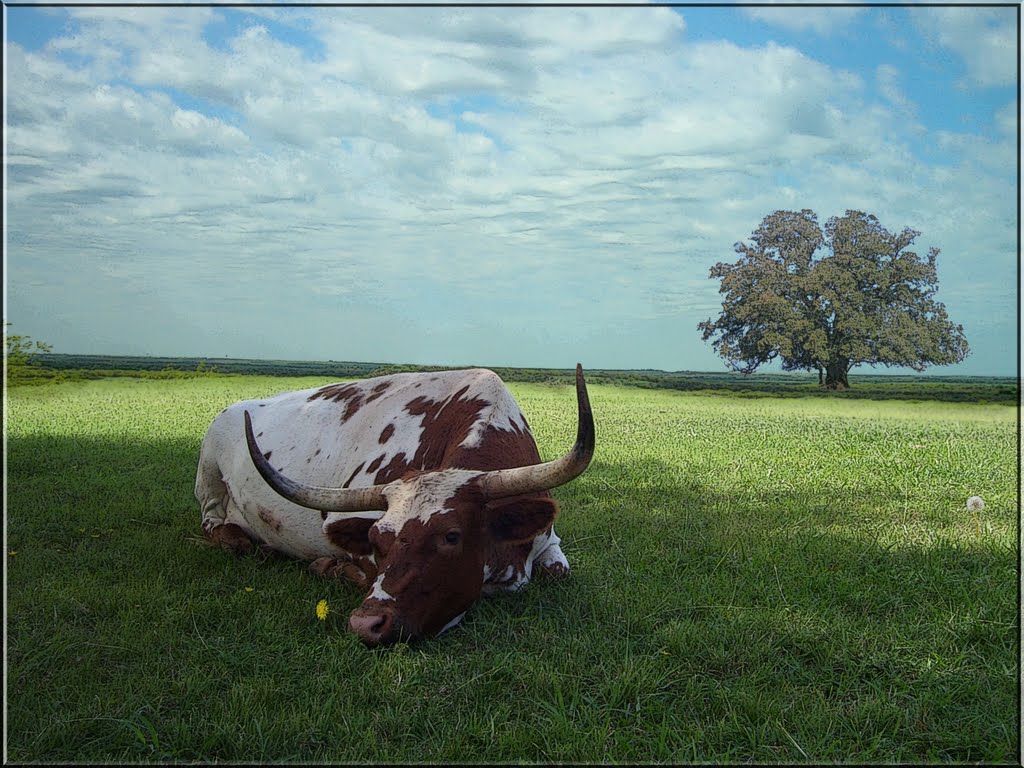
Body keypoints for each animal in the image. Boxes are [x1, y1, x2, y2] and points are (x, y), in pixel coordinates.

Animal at [193, 364, 593, 647]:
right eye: (377, 540)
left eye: (451, 536)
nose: (366, 624)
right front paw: (331, 567)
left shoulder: (549, 539)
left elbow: (557, 571)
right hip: (209, 466)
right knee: (212, 522)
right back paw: (243, 541)